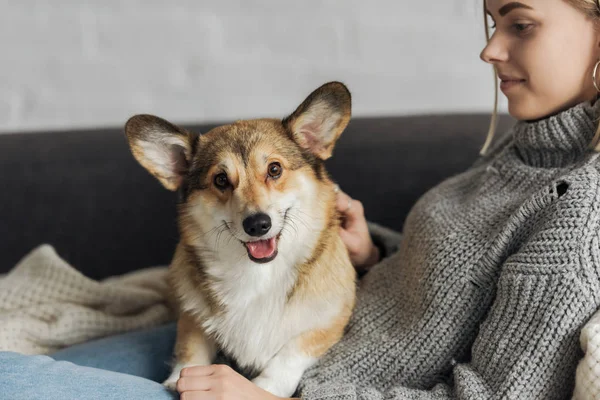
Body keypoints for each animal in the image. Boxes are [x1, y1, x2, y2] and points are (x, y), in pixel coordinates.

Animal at [122, 81, 356, 396]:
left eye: (274, 169)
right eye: (220, 180)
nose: (257, 225)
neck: (259, 274)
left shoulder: (330, 319)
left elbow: (292, 352)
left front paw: (265, 387)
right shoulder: (191, 314)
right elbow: (191, 346)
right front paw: (178, 377)